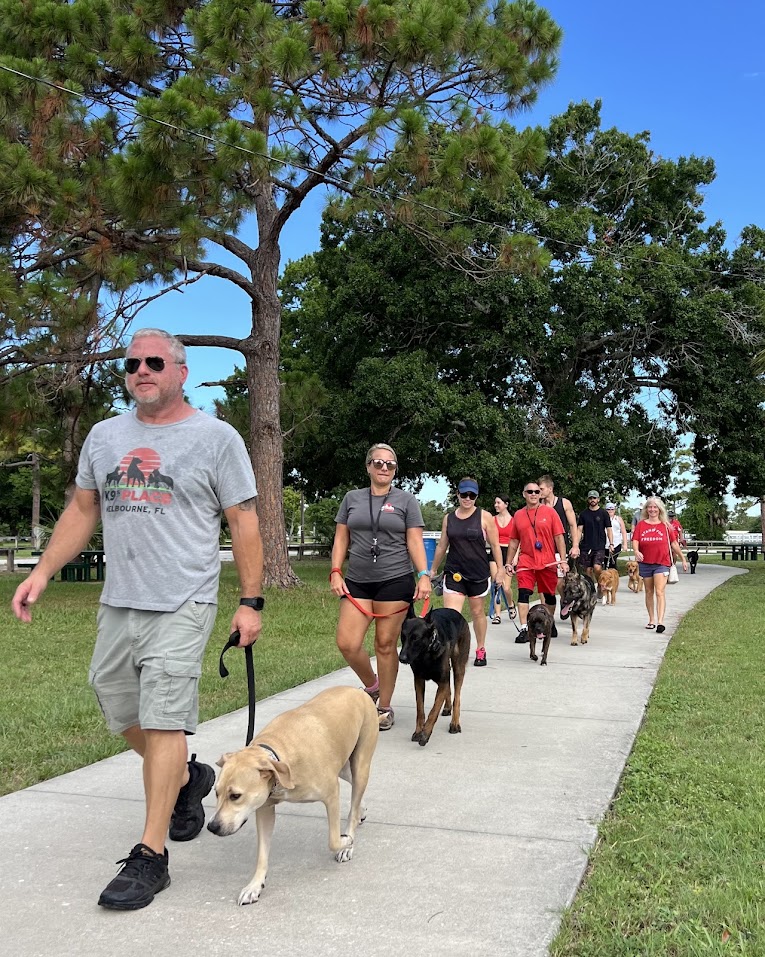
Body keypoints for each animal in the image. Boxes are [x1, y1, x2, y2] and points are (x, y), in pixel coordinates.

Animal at [207, 688, 378, 904]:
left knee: (354, 801)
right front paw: (254, 886)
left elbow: (333, 840)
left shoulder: (332, 794)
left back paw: (350, 837)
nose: (212, 827)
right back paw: (361, 811)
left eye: (235, 796)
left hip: (361, 763)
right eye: (216, 793)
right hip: (345, 767)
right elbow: (262, 854)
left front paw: (346, 841)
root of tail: (357, 690)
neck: (280, 762)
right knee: (355, 792)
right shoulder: (264, 809)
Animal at [400, 604, 472, 748]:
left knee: (457, 696)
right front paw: (418, 731)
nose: (402, 658)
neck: (425, 654)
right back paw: (447, 707)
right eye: (403, 637)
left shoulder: (442, 681)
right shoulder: (419, 681)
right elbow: (420, 709)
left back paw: (455, 723)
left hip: (458, 668)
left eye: (415, 638)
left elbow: (433, 711)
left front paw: (425, 734)